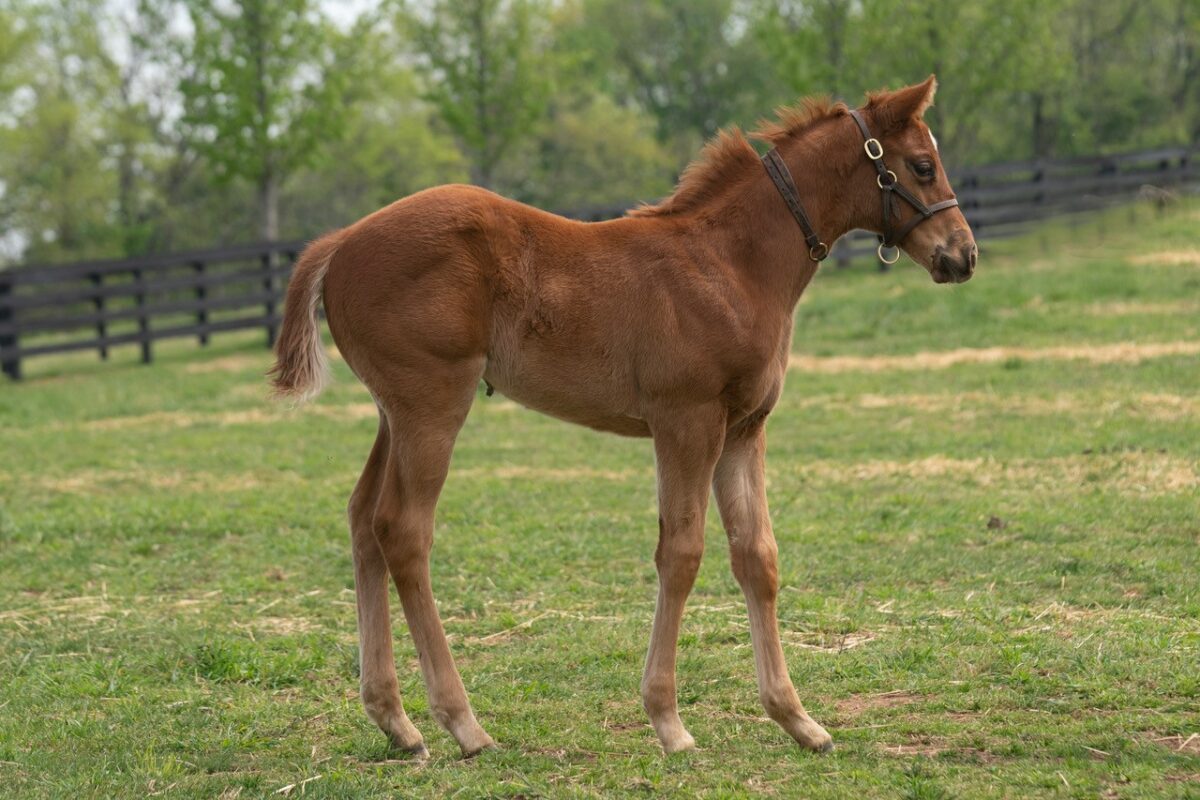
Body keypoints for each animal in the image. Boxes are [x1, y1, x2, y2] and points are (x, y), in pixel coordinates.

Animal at [270, 74, 974, 758]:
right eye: (921, 165)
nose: (963, 255)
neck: (730, 264)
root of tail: (339, 243)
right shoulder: (686, 422)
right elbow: (682, 553)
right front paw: (669, 723)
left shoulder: (744, 429)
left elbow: (758, 556)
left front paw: (797, 720)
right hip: (433, 404)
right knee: (403, 530)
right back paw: (464, 725)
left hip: (394, 413)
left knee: (363, 520)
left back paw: (397, 722)